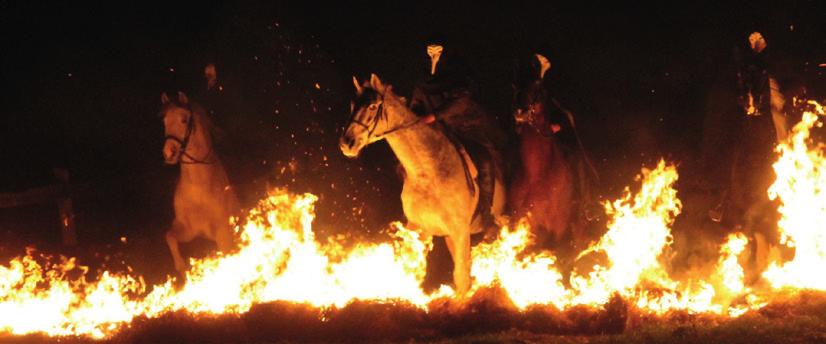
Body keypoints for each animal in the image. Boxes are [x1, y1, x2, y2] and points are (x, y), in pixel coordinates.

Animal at [159, 92, 238, 272]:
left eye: (184, 120)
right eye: (164, 121)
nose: (168, 153)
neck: (198, 189)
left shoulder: (223, 234)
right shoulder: (187, 230)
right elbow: (170, 237)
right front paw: (181, 266)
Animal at [338, 74, 506, 294]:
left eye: (373, 106)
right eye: (352, 104)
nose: (346, 143)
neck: (428, 174)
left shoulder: (460, 232)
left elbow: (461, 278)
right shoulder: (419, 229)